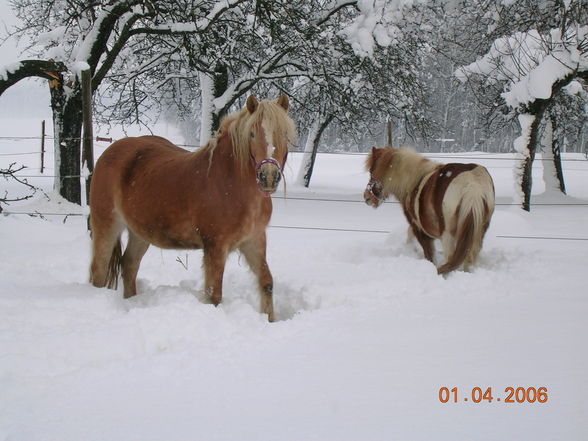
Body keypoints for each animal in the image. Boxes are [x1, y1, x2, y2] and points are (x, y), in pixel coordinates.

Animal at [89, 94, 296, 320]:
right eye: (251, 134)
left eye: (284, 133)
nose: (268, 176)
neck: (230, 182)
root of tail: (110, 152)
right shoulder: (215, 246)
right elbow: (214, 295)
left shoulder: (254, 240)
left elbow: (266, 283)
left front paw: (270, 320)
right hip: (107, 226)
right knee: (98, 272)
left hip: (140, 233)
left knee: (129, 265)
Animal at [362, 146, 496, 274]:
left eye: (371, 172)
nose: (366, 197)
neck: (413, 183)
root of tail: (473, 185)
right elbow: (409, 237)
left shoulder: (420, 231)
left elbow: (429, 255)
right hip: (478, 233)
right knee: (468, 259)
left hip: (448, 236)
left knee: (450, 258)